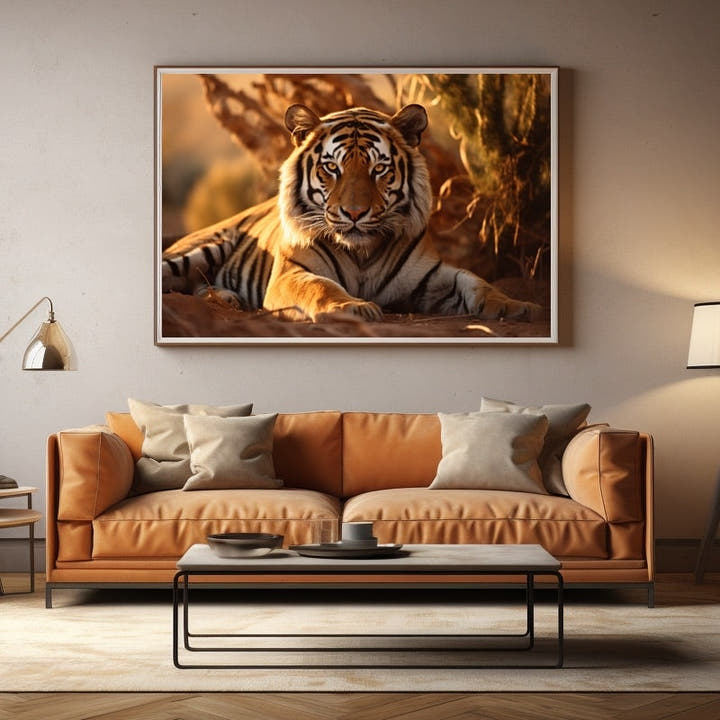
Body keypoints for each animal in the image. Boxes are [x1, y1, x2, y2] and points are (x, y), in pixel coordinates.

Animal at [162, 103, 541, 323]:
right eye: (332, 167)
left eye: (379, 169)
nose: (355, 212)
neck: (362, 253)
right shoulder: (291, 274)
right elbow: (320, 287)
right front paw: (352, 307)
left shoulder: (431, 275)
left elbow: (477, 282)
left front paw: (514, 305)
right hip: (200, 250)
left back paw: (228, 297)